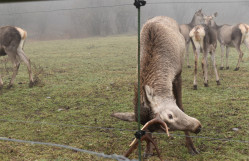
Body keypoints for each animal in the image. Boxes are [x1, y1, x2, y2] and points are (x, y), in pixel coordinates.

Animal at [112, 16, 201, 160]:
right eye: (164, 129)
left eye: (170, 115)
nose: (197, 127)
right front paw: (148, 150)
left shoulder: (177, 75)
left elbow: (181, 106)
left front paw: (191, 147)